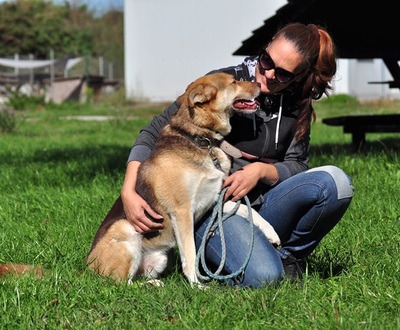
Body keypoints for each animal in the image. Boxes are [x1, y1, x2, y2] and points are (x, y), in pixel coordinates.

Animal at [85, 72, 280, 286]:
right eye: (234, 82)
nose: (259, 84)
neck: (202, 140)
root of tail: (87, 268)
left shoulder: (214, 200)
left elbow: (248, 209)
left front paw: (271, 233)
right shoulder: (182, 212)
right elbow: (190, 254)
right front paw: (197, 285)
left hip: (161, 258)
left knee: (136, 280)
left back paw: (154, 284)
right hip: (125, 230)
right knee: (122, 284)